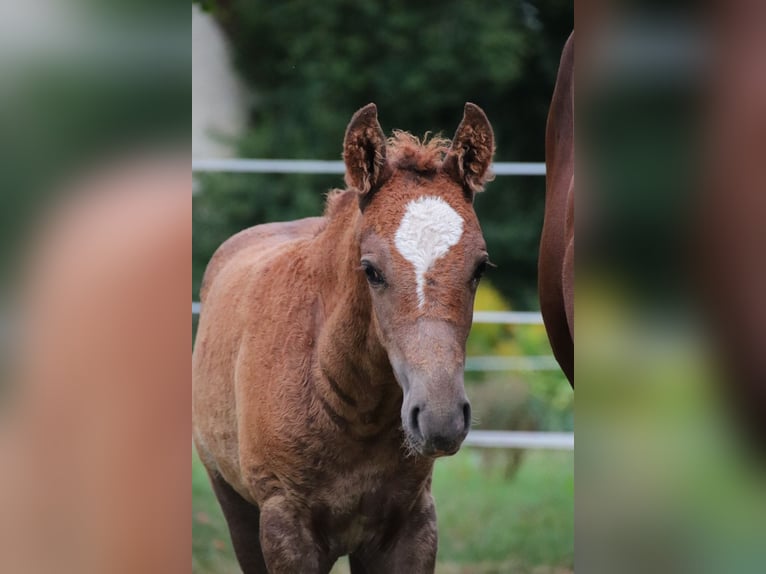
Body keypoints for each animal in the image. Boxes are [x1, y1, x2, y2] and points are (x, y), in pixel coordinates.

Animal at [192, 104, 498, 574]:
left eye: (480, 267)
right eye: (371, 270)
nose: (440, 417)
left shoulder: (412, 526)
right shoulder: (285, 529)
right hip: (233, 502)